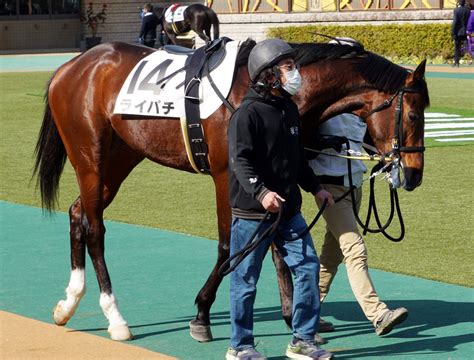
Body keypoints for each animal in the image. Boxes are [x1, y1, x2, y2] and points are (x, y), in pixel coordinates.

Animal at [34, 38, 430, 342]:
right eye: (413, 115)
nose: (413, 175)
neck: (263, 93)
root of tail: (73, 65)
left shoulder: (276, 176)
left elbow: (276, 243)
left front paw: (292, 315)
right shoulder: (230, 176)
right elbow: (229, 244)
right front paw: (202, 313)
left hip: (121, 157)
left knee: (78, 213)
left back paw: (68, 303)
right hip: (90, 156)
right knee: (95, 228)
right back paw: (115, 317)